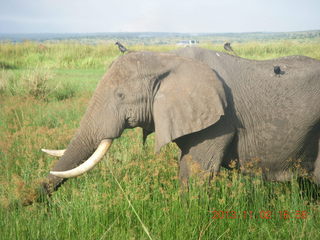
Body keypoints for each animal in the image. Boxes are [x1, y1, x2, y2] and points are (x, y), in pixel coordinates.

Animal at [24, 47, 320, 204]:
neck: (167, 58)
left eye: (120, 96)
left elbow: (197, 172)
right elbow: (186, 168)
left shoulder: (220, 120)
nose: (27, 201)